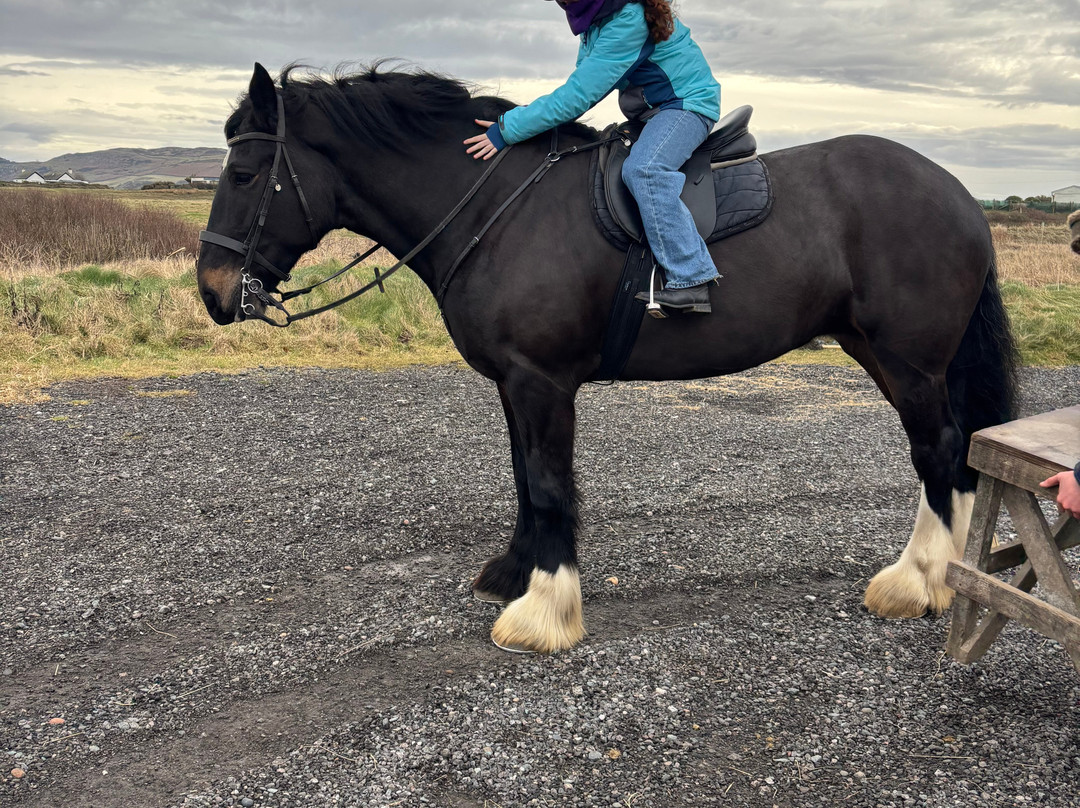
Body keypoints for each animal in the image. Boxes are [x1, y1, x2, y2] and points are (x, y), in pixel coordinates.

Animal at [196, 63, 1018, 654]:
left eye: (245, 174)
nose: (212, 290)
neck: (497, 208)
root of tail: (957, 193)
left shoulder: (542, 383)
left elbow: (550, 484)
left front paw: (545, 611)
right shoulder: (514, 385)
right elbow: (525, 480)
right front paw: (515, 572)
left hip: (908, 361)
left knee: (938, 449)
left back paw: (917, 581)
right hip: (881, 354)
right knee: (947, 455)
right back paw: (939, 577)